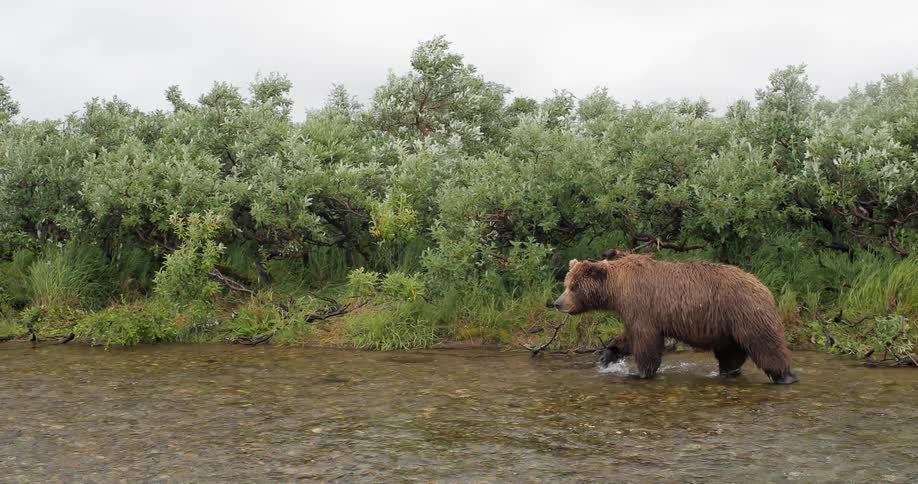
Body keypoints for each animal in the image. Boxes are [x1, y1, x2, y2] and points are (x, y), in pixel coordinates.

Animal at [552, 252, 799, 384]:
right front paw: (608, 355)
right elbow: (630, 336)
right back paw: (727, 374)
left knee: (765, 345)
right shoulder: (633, 310)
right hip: (727, 328)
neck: (617, 289)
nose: (557, 303)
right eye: (566, 283)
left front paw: (642, 372)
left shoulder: (641, 305)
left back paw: (786, 376)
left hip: (745, 314)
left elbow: (645, 340)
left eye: (573, 287)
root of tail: (764, 287)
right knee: (730, 354)